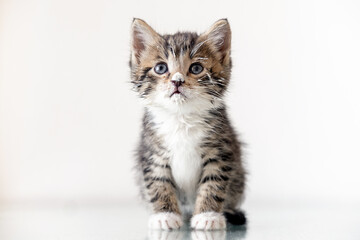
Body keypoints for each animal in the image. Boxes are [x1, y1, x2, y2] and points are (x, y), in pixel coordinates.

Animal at [130, 17, 248, 230]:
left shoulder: (220, 151)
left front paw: (208, 215)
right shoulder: (152, 153)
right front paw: (165, 215)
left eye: (196, 68)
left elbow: (213, 183)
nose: (177, 81)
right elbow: (158, 183)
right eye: (161, 68)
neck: (181, 117)